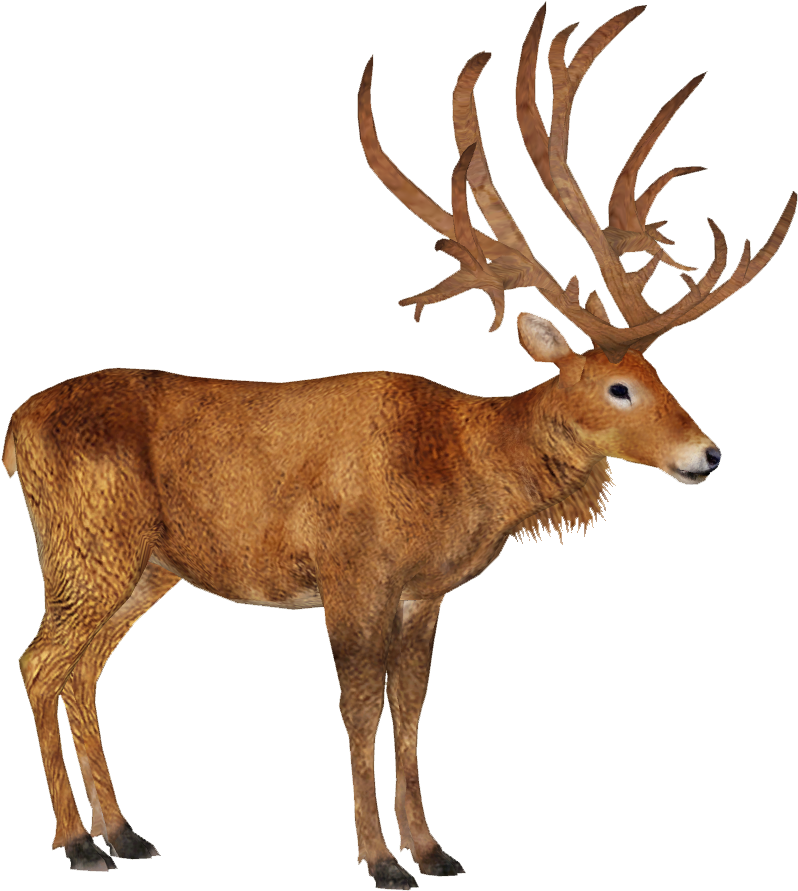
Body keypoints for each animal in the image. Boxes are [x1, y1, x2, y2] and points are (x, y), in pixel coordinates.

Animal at [5, 3, 794, 888]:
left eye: (661, 374)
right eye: (618, 387)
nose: (708, 454)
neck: (458, 472)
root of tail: (12, 432)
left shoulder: (425, 594)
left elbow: (411, 711)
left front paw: (433, 846)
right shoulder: (352, 575)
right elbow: (357, 711)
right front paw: (381, 857)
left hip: (144, 566)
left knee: (82, 667)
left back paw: (123, 829)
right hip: (87, 541)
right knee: (39, 660)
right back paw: (78, 840)